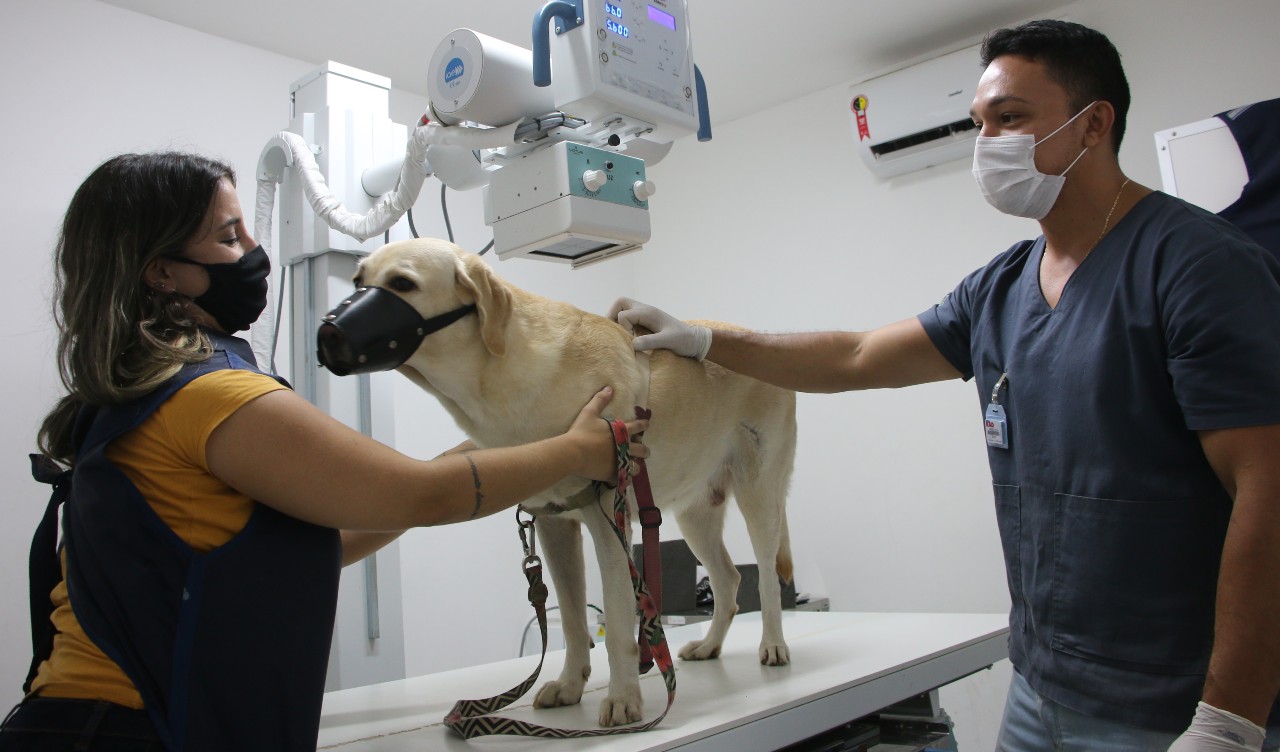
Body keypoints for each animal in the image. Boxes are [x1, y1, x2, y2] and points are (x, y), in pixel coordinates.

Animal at [348, 237, 788, 726]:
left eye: (402, 284)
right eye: (357, 280)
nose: (327, 333)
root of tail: (762, 338)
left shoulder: (610, 524)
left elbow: (618, 623)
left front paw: (623, 697)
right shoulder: (553, 524)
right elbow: (575, 621)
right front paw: (570, 684)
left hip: (759, 497)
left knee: (766, 579)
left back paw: (773, 645)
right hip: (695, 517)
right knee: (729, 580)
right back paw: (710, 645)